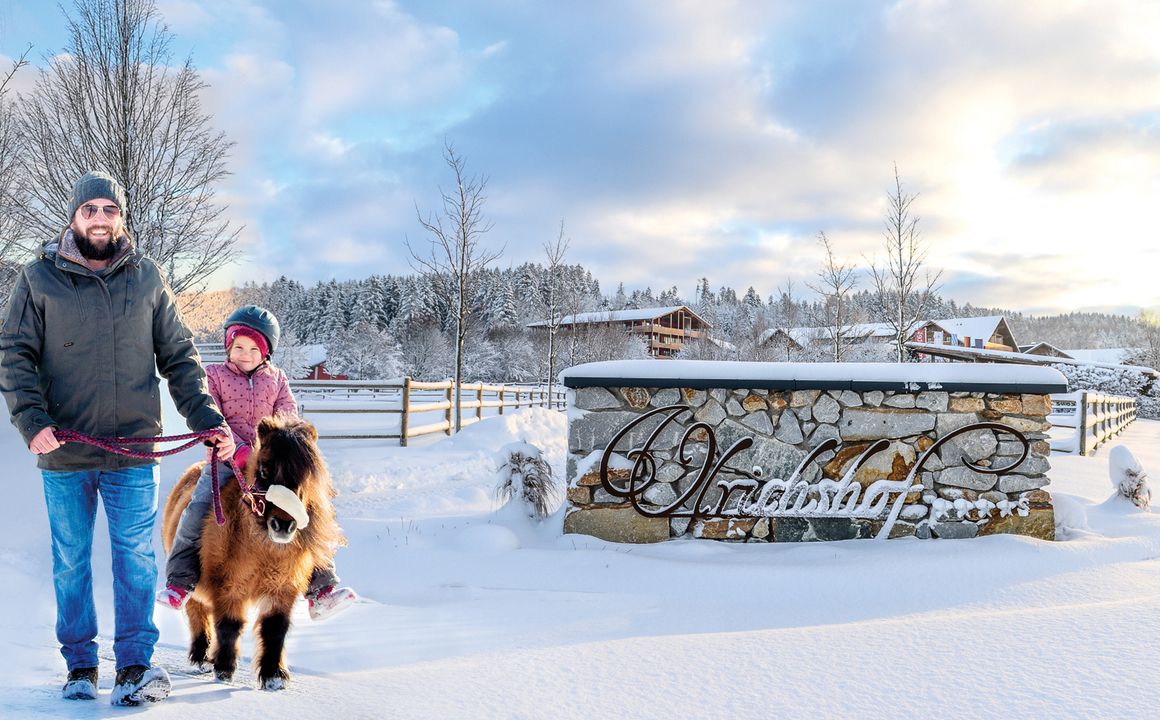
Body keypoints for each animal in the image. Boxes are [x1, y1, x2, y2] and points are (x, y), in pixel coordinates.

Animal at [162, 412, 343, 686]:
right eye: (264, 471)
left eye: (306, 476)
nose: (283, 525)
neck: (264, 551)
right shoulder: (228, 587)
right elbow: (229, 625)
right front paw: (224, 669)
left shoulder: (283, 589)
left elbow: (275, 629)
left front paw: (274, 676)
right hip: (194, 587)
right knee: (197, 612)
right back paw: (201, 656)